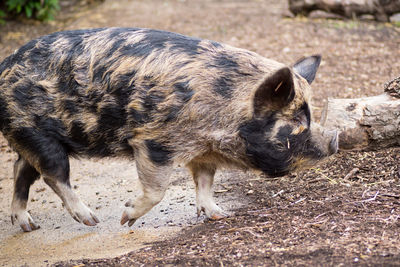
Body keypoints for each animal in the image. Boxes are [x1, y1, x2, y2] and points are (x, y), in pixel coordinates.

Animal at [0, 27, 338, 232]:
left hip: (28, 136)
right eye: (297, 121)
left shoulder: (203, 151)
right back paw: (91, 220)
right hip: (36, 132)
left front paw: (220, 214)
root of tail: (4, 66)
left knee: (22, 170)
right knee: (53, 174)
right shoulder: (153, 143)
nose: (333, 141)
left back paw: (28, 225)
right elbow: (157, 190)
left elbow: (205, 182)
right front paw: (125, 219)